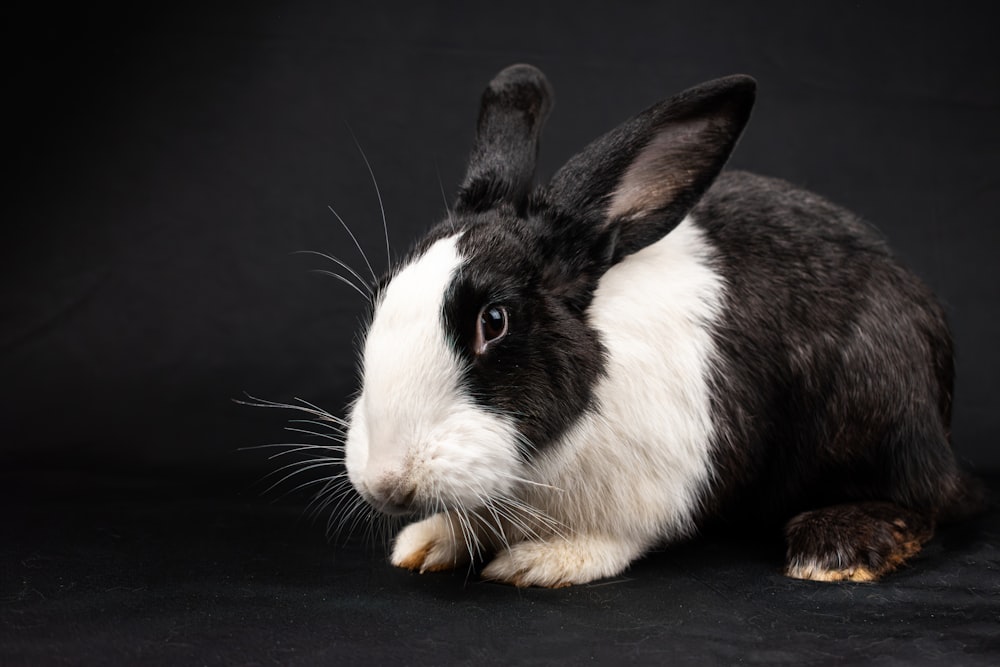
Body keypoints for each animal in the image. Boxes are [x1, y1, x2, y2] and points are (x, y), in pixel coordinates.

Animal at [340, 61, 980, 584]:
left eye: (493, 321)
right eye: (382, 293)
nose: (386, 482)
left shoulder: (656, 481)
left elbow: (616, 536)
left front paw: (545, 561)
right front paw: (427, 543)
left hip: (881, 408)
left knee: (925, 503)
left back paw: (833, 550)